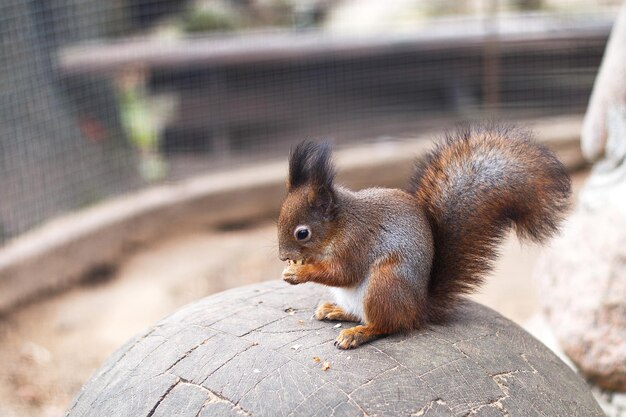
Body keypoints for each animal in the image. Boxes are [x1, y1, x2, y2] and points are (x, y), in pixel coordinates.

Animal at [278, 123, 572, 348]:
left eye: (302, 233)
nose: (282, 256)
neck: (339, 225)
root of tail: (418, 309)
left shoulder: (357, 243)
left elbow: (342, 273)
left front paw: (299, 273)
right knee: (362, 315)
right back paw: (335, 310)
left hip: (385, 284)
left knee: (386, 325)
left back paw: (358, 334)